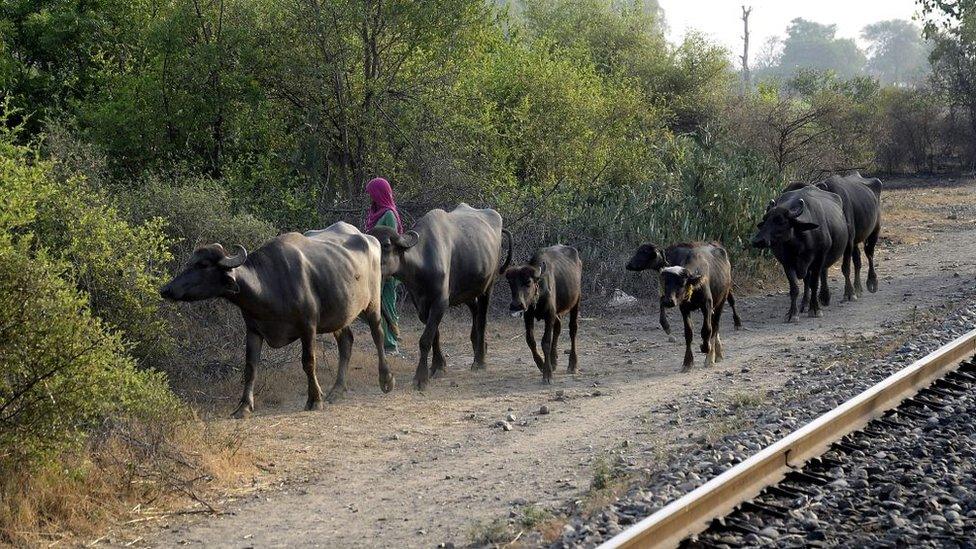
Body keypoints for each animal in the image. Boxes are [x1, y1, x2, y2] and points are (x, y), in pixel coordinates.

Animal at [160, 222, 392, 416]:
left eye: (203, 265)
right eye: (190, 262)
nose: (166, 289)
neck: (269, 285)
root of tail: (369, 239)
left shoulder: (308, 327)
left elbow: (309, 362)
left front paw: (315, 399)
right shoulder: (253, 330)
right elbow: (250, 367)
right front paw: (243, 407)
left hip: (372, 304)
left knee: (378, 335)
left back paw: (386, 379)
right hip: (340, 313)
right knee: (346, 341)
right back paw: (336, 390)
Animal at [752, 185, 852, 322]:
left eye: (781, 221)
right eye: (765, 219)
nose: (758, 240)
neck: (798, 244)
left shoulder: (818, 259)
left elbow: (814, 284)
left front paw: (815, 309)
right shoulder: (787, 263)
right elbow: (795, 288)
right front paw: (792, 313)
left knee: (835, 271)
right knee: (806, 281)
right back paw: (804, 304)